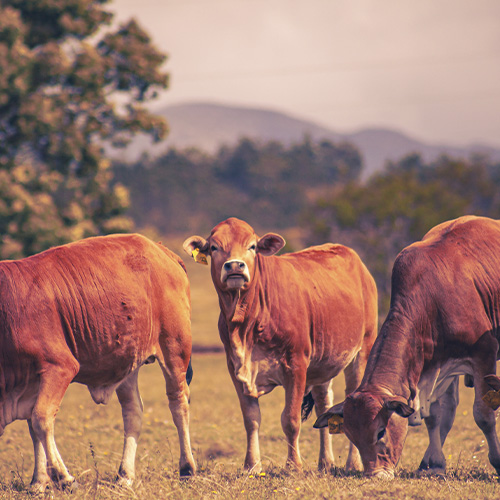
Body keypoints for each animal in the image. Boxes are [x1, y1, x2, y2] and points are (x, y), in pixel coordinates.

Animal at [0, 233, 195, 492]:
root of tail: (161, 249)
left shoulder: (60, 367)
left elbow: (40, 419)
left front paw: (64, 478)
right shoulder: (33, 380)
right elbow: (34, 427)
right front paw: (38, 482)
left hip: (175, 347)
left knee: (178, 403)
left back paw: (187, 468)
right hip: (128, 359)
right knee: (133, 412)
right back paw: (124, 475)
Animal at [183, 217, 376, 470]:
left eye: (252, 246)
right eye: (214, 247)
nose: (234, 266)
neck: (248, 324)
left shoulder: (296, 364)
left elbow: (290, 420)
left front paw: (293, 465)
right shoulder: (235, 368)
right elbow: (251, 419)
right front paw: (252, 465)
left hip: (362, 351)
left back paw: (353, 463)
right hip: (323, 364)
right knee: (324, 405)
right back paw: (325, 462)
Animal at [314, 216, 500, 480]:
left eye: (381, 431)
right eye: (351, 436)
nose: (375, 474)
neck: (433, 297)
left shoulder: (484, 353)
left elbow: (484, 416)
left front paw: (497, 461)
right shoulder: (436, 367)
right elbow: (436, 416)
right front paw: (434, 463)